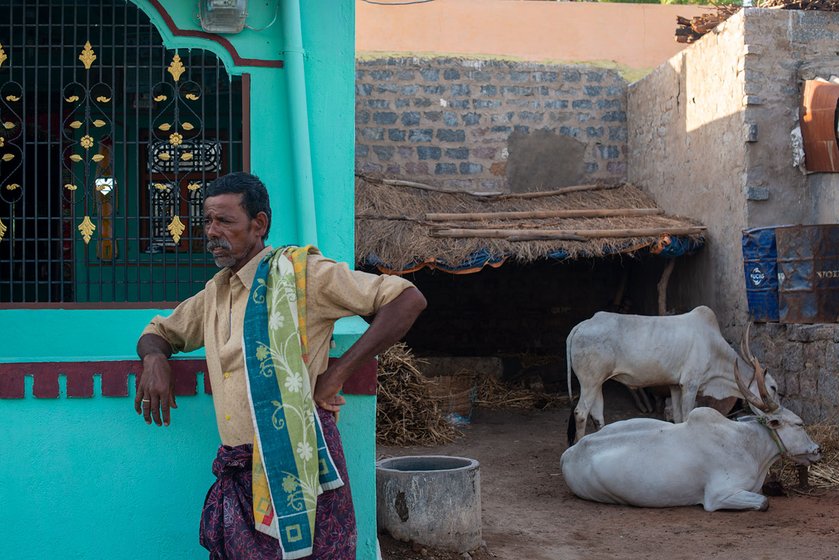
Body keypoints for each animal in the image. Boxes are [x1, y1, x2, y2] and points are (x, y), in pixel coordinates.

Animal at [556, 364, 820, 512]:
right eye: (799, 424)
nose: (817, 450)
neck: (749, 444)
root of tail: (570, 452)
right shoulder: (718, 496)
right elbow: (764, 502)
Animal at [568, 306, 776, 442]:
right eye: (773, 387)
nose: (776, 413)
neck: (713, 347)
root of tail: (583, 324)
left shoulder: (675, 386)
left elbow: (677, 418)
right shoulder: (690, 384)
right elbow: (687, 416)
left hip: (597, 383)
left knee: (597, 415)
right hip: (589, 382)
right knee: (580, 413)